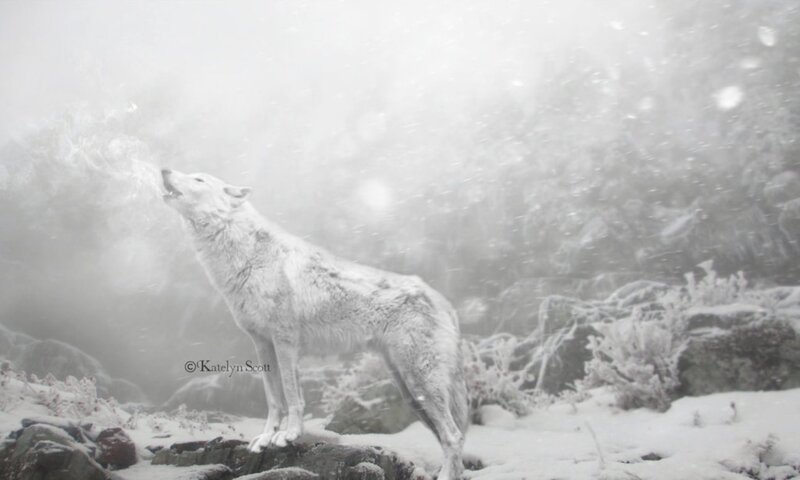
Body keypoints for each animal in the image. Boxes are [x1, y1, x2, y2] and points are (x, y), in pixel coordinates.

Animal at [161, 168, 469, 479]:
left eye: (198, 179)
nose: (164, 170)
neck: (247, 257)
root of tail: (446, 303)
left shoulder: (285, 341)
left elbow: (292, 396)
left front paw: (289, 435)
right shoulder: (262, 344)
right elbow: (274, 399)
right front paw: (266, 438)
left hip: (420, 383)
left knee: (454, 435)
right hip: (412, 394)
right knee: (450, 438)